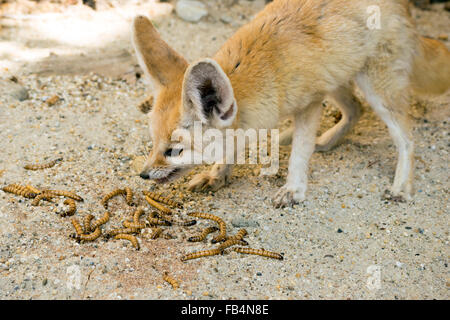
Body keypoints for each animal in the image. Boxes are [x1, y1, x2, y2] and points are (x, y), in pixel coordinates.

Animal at [134, 0, 450, 208]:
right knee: (355, 110)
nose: (143, 174)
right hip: (336, 78)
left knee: (406, 139)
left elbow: (300, 153)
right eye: (153, 143)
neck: (264, 70)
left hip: (374, 87)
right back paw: (325, 140)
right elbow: (234, 145)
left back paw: (401, 187)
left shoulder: (309, 103)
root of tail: (405, 7)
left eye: (174, 151)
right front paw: (217, 174)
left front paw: (294, 189)